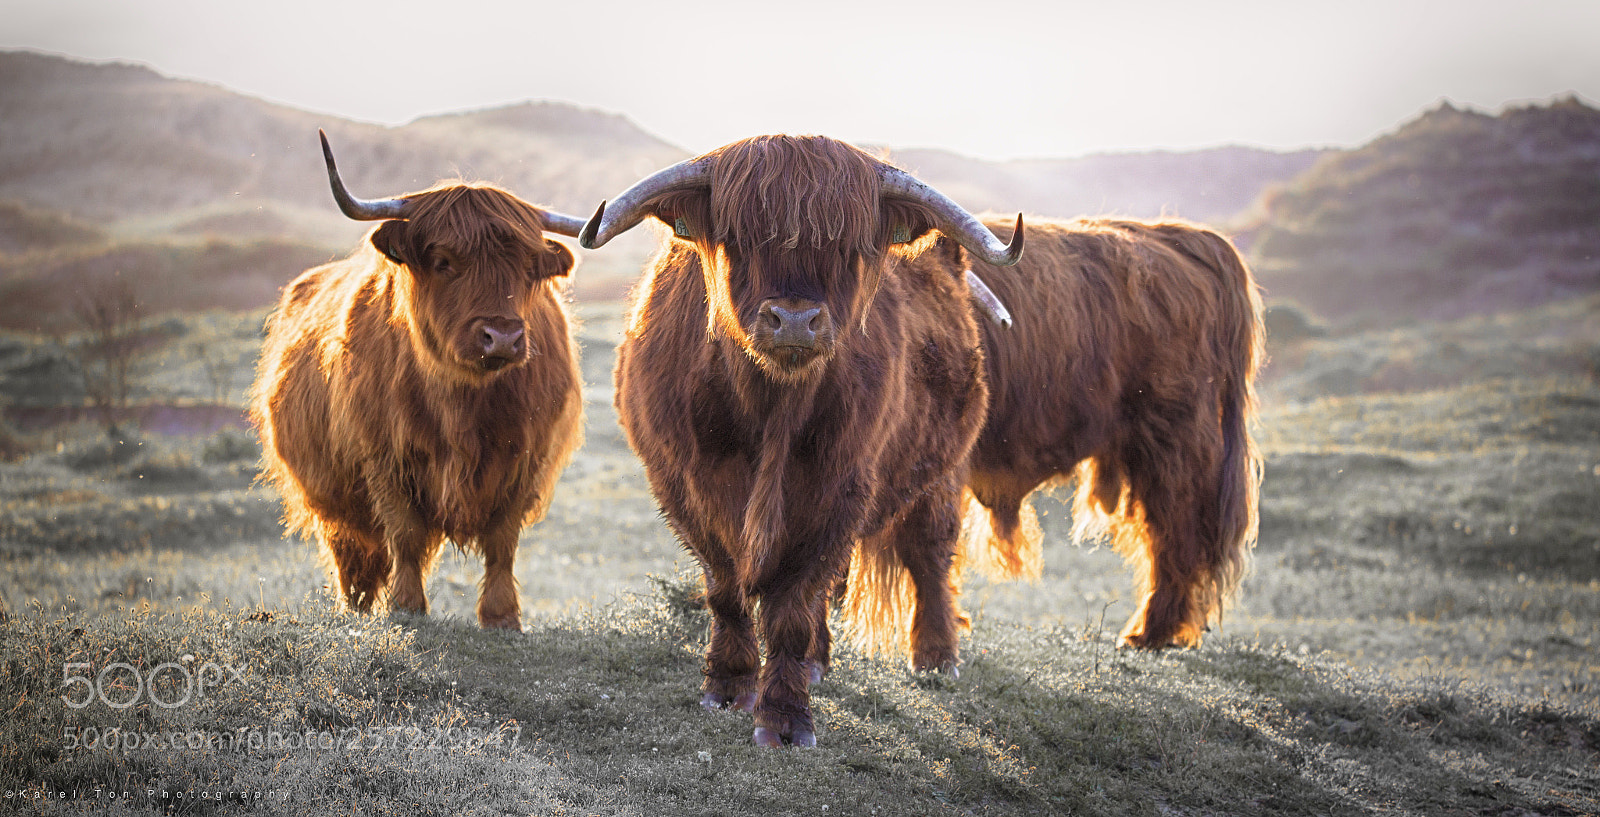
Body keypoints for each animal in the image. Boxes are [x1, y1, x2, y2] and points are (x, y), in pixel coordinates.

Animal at [249, 130, 585, 631]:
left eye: (528, 267)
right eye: (443, 261)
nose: (502, 337)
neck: (462, 402)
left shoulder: (526, 455)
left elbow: (502, 540)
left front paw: (502, 616)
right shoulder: (384, 455)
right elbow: (404, 533)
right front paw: (407, 607)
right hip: (330, 497)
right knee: (351, 551)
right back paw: (356, 607)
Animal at [580, 134, 1023, 747]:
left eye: (848, 247)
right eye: (740, 239)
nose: (794, 320)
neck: (772, 409)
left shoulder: (840, 489)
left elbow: (792, 604)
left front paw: (786, 719)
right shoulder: (683, 484)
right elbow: (725, 588)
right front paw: (728, 686)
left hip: (941, 476)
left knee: (928, 556)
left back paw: (936, 658)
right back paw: (820, 661)